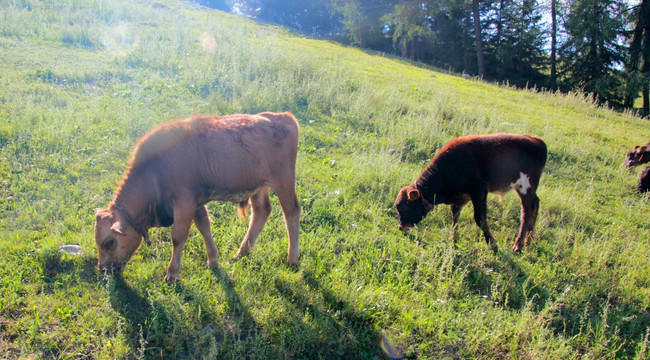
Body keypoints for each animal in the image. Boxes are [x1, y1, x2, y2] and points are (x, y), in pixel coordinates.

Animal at [392, 133, 544, 253]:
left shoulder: (479, 189)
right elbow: (455, 218)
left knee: (526, 211)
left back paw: (519, 245)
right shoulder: (459, 198)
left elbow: (479, 218)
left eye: (405, 206)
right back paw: (529, 239)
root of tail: (537, 141)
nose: (401, 227)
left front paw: (493, 244)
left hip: (526, 186)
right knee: (536, 203)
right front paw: (454, 242)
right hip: (526, 188)